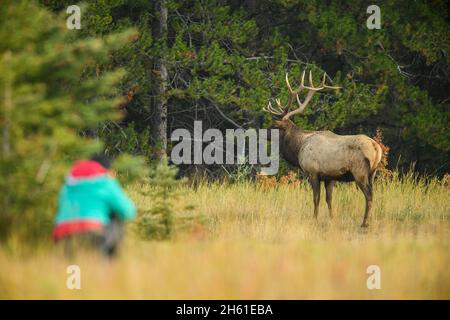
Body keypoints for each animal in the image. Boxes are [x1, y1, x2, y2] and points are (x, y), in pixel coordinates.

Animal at [266, 71, 382, 229]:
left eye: (274, 126)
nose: (263, 133)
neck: (299, 148)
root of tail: (377, 149)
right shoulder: (330, 177)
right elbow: (329, 199)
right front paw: (331, 218)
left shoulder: (313, 172)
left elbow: (316, 198)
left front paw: (314, 219)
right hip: (372, 173)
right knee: (373, 194)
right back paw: (369, 220)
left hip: (360, 172)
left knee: (369, 195)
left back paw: (364, 223)